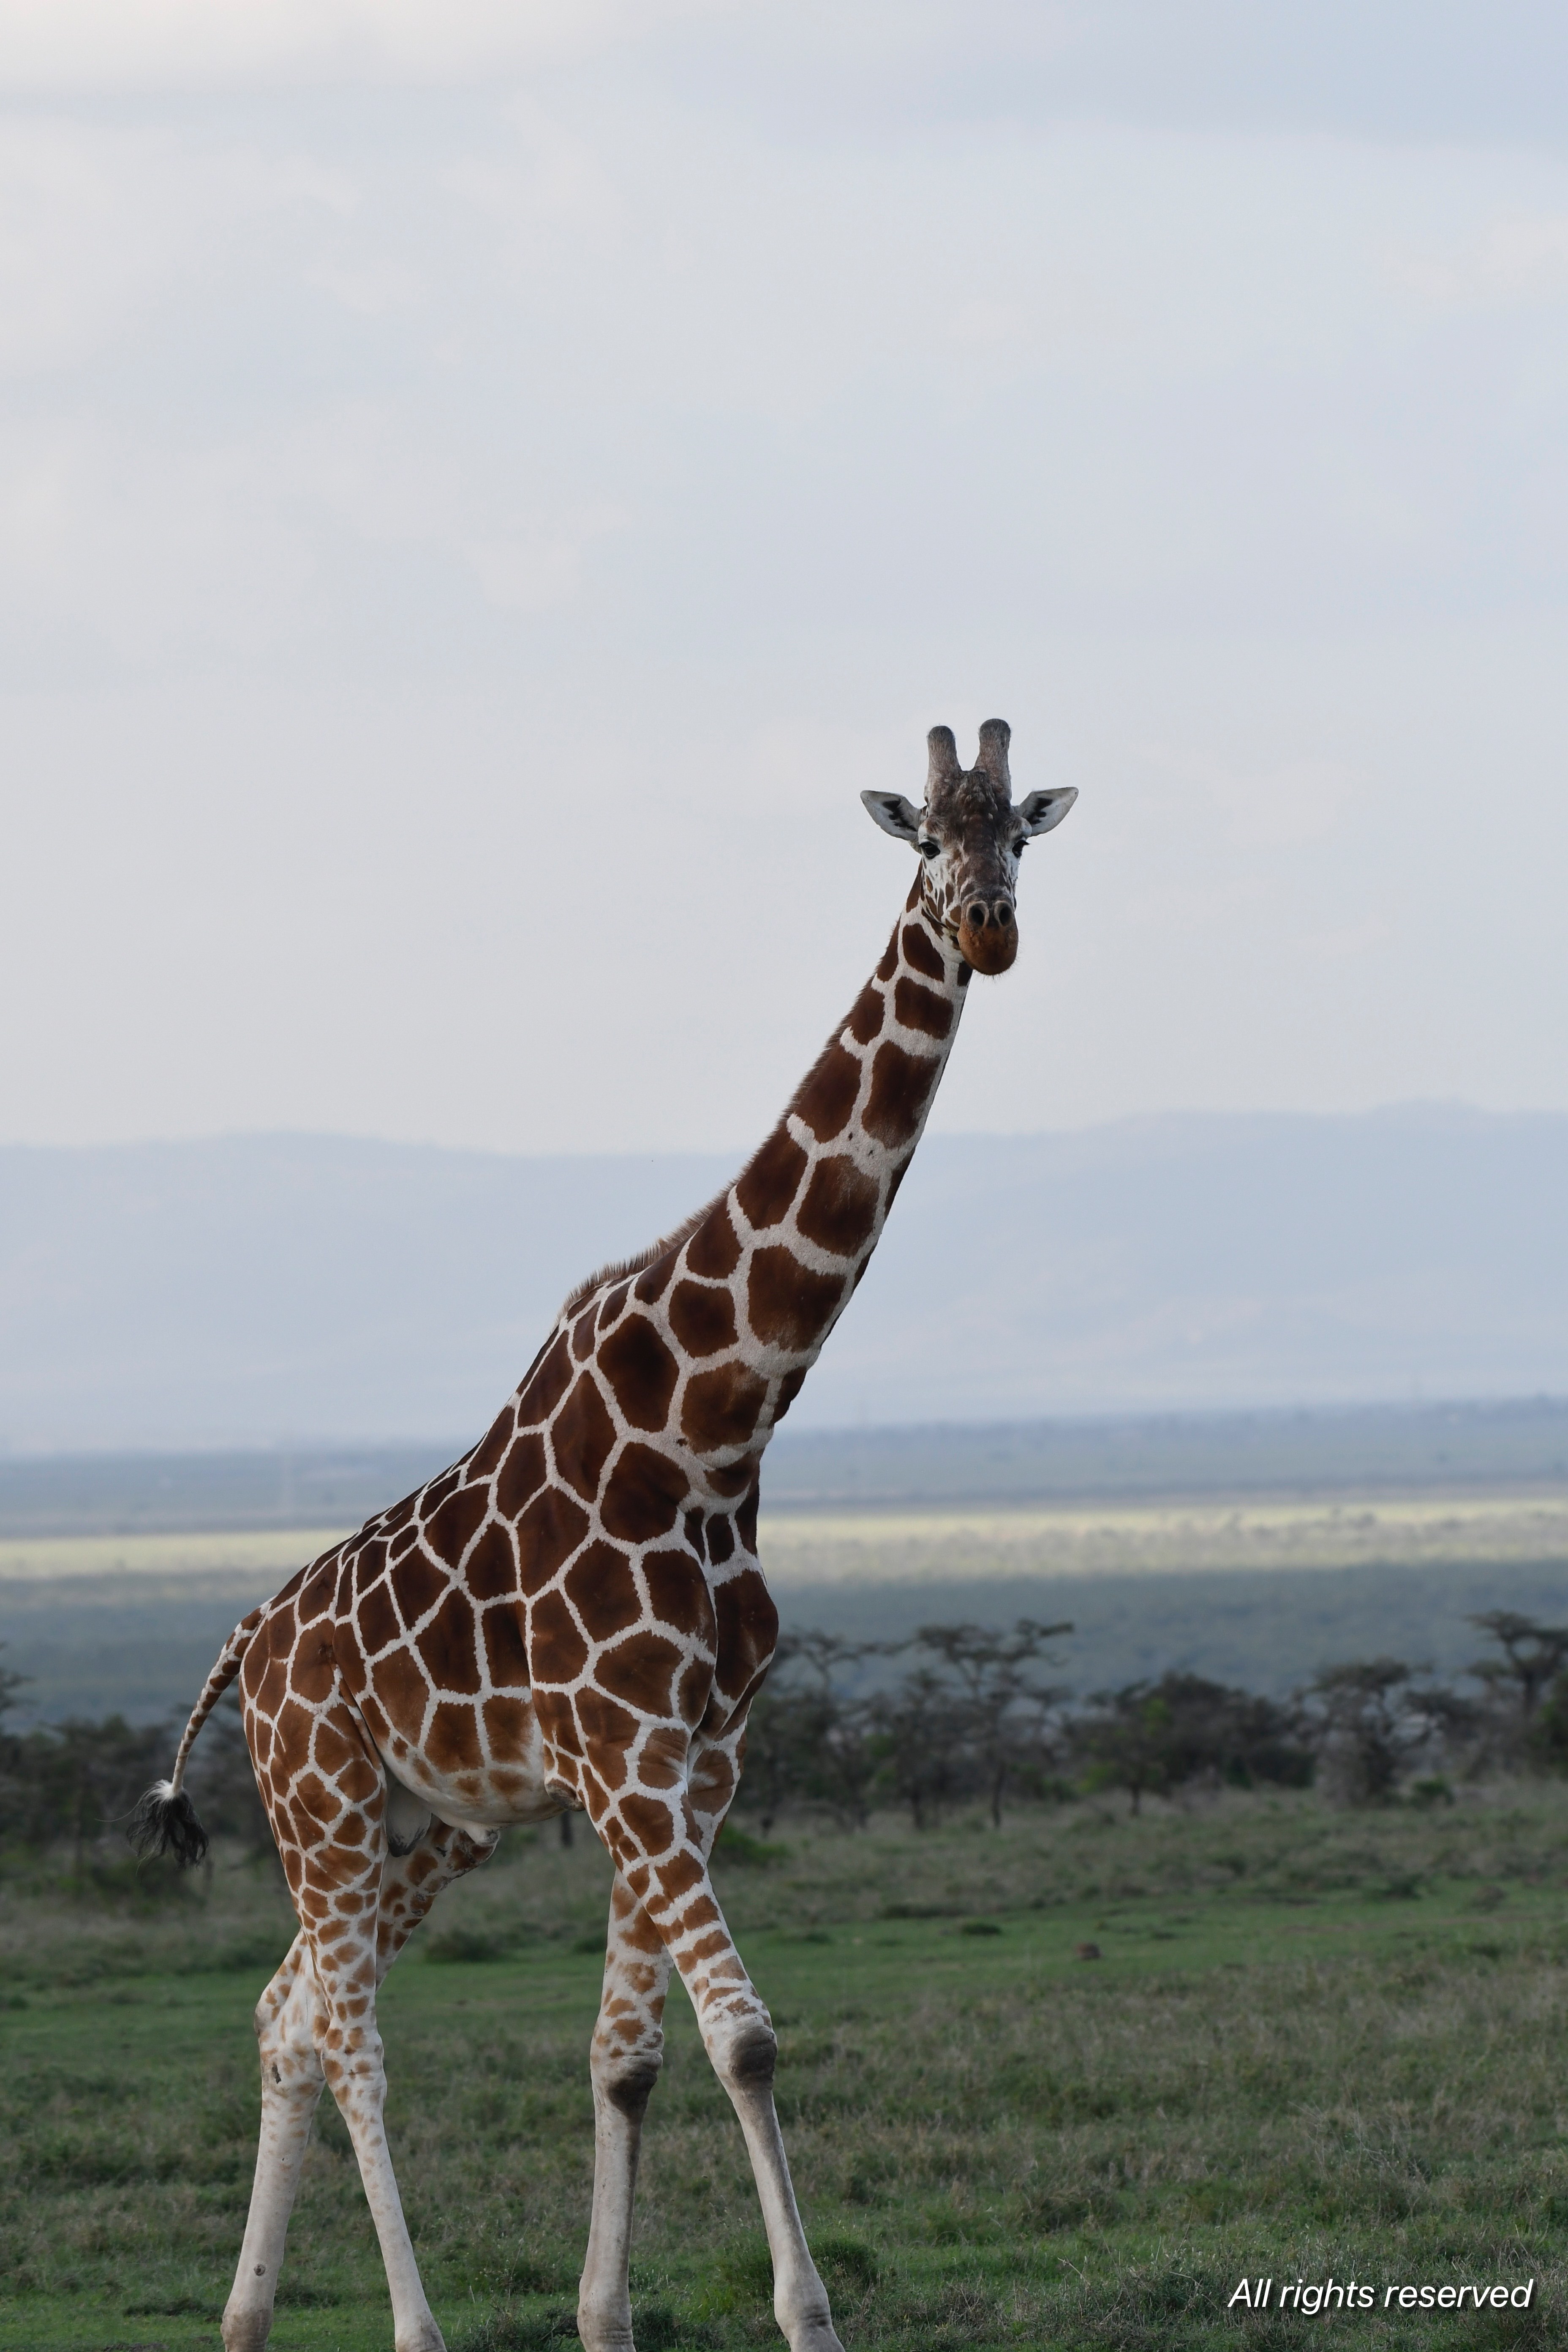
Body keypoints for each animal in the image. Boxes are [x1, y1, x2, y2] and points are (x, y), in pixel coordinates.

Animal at [130, 718, 1077, 2352]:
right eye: (920, 837)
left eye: (1020, 827)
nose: (988, 925)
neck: (710, 1417)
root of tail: (251, 1635)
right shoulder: (630, 1755)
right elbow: (744, 2036)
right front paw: (809, 2314)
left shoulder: (695, 1760)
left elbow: (633, 2051)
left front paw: (608, 2314)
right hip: (318, 1800)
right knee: (351, 2031)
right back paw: (416, 2325)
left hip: (427, 1819)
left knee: (285, 2012)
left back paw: (246, 2319)